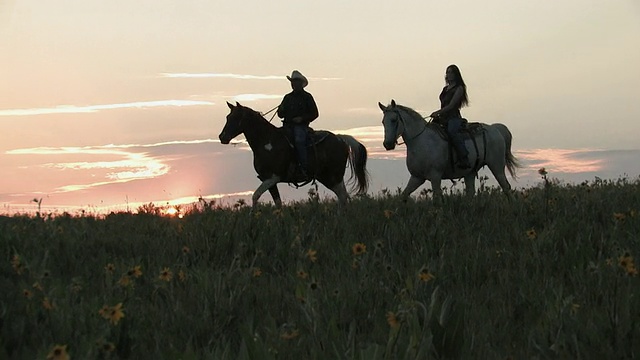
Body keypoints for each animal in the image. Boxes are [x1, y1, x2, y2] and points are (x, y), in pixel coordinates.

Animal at [220, 101, 370, 208]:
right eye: (228, 117)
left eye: (235, 118)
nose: (222, 137)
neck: (267, 141)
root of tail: (340, 138)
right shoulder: (266, 179)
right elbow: (277, 203)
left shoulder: (273, 177)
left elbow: (255, 195)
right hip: (328, 177)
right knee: (343, 196)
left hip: (334, 176)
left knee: (343, 196)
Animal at [378, 100, 516, 198]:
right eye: (383, 122)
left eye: (394, 120)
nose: (387, 144)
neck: (421, 141)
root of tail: (495, 129)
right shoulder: (417, 177)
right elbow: (403, 196)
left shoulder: (435, 176)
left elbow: (437, 199)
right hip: (470, 172)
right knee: (470, 193)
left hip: (496, 166)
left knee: (506, 188)